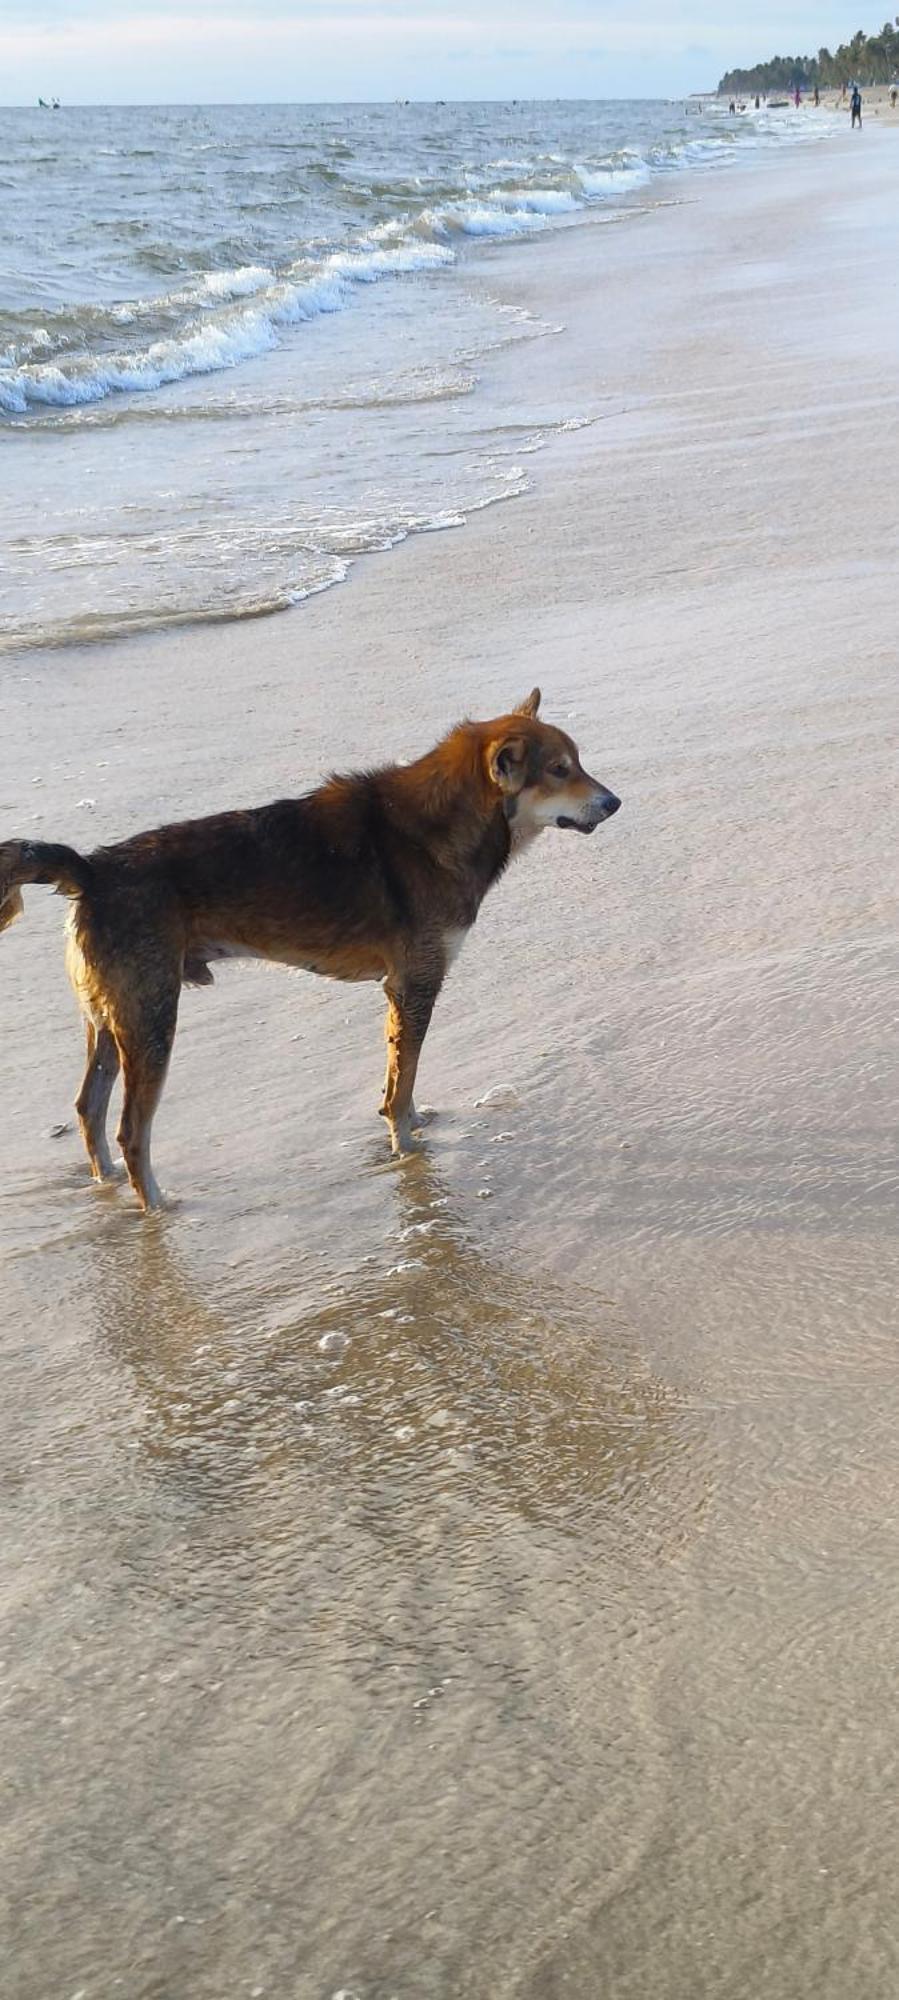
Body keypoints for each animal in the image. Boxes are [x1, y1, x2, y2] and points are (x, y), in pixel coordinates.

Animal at [0, 696, 619, 1208]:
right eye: (560, 770)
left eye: (576, 763)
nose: (614, 802)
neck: (441, 825)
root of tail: (93, 870)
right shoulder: (416, 983)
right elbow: (402, 1080)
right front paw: (406, 1148)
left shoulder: (401, 990)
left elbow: (399, 1077)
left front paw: (412, 1130)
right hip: (151, 1021)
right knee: (131, 1129)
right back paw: (156, 1205)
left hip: (110, 1020)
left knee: (89, 1107)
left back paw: (105, 1184)